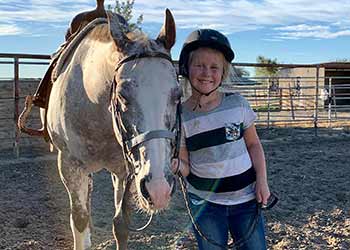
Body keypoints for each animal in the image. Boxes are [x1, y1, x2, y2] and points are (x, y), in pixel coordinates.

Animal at [44, 8, 180, 249]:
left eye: (178, 95)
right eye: (122, 95)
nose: (159, 189)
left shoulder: (126, 171)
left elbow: (121, 225)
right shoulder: (70, 166)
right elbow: (79, 220)